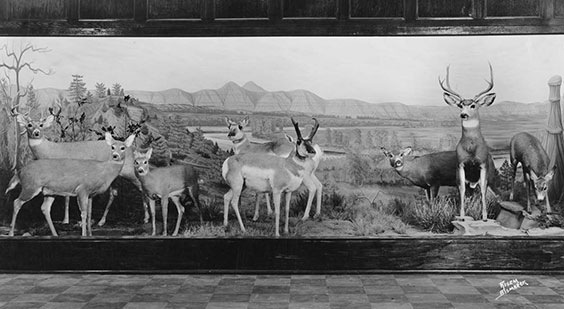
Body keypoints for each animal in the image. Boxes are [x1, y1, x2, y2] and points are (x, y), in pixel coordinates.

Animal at [5, 132, 135, 236]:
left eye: (123, 147)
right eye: (112, 147)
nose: (115, 156)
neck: (103, 171)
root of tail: (20, 172)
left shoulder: (91, 194)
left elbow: (89, 214)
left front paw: (90, 234)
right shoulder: (82, 189)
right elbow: (83, 213)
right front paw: (84, 235)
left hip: (48, 192)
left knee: (44, 208)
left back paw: (55, 234)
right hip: (30, 186)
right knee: (17, 202)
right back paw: (11, 233)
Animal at [15, 112, 150, 225]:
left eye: (41, 125)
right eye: (29, 125)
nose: (36, 133)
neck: (50, 150)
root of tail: (132, 149)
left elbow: (67, 197)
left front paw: (65, 220)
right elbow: (66, 196)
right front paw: (66, 219)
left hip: (130, 171)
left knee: (141, 185)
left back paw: (146, 218)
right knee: (114, 193)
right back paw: (101, 221)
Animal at [438, 63, 496, 220]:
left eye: (473, 106)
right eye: (460, 105)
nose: (463, 114)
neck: (471, 149)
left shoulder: (483, 164)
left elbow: (483, 190)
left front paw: (484, 217)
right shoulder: (460, 164)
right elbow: (462, 190)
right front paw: (462, 215)